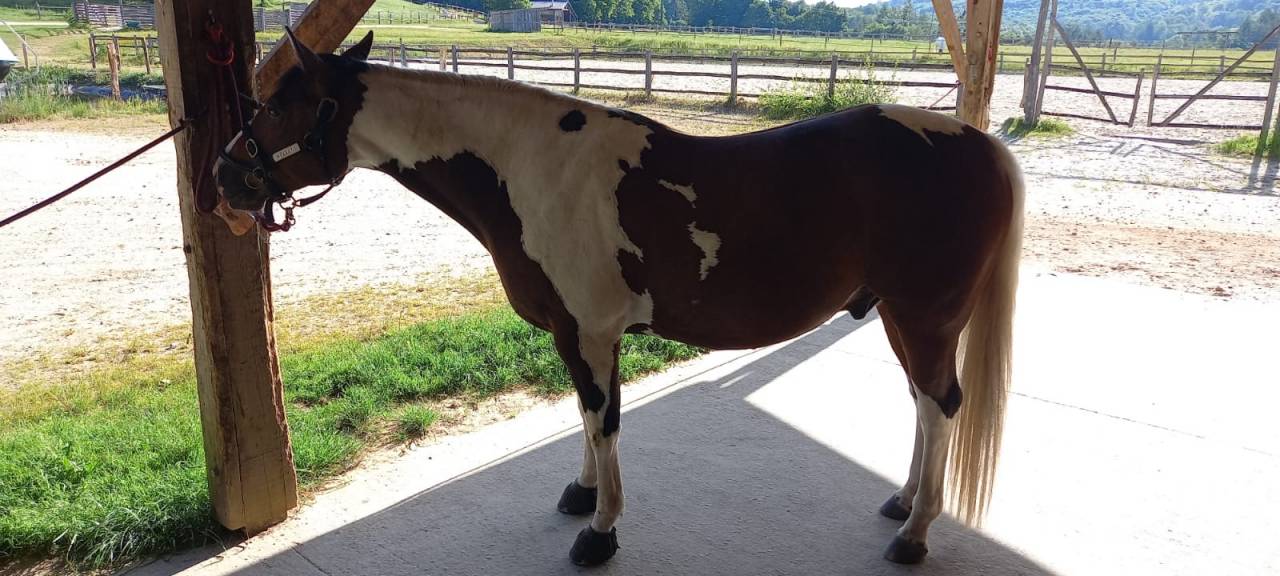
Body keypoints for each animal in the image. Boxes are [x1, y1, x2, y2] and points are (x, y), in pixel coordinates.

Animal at [214, 30, 1023, 567]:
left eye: (279, 106)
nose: (224, 177)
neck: (530, 168)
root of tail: (980, 144)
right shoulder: (573, 334)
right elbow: (584, 415)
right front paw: (580, 495)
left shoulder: (593, 331)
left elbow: (604, 423)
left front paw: (599, 532)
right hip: (900, 316)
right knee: (924, 404)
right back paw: (902, 503)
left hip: (924, 317)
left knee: (941, 406)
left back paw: (913, 535)